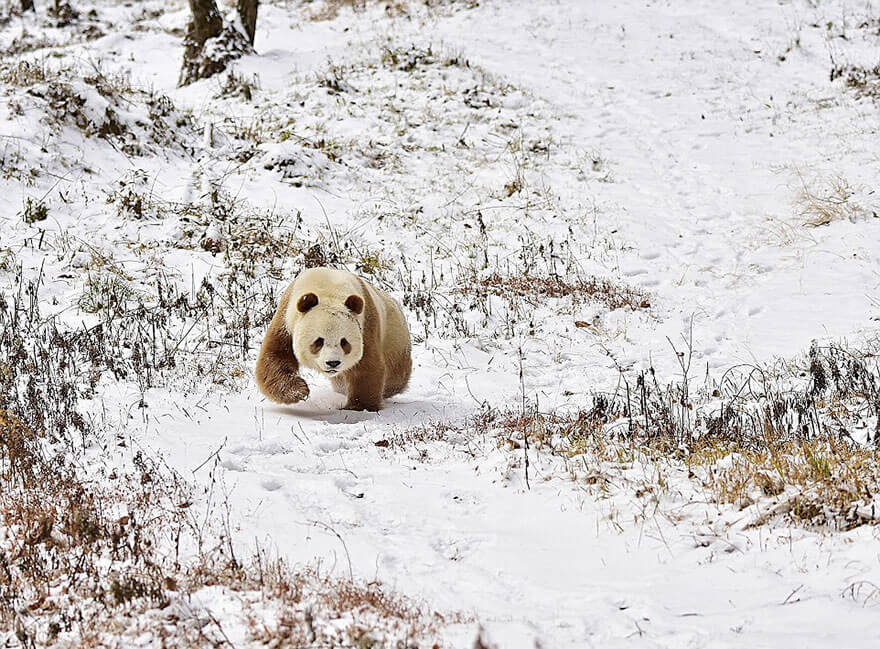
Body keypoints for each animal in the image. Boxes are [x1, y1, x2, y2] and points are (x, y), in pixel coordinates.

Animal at [256, 268, 410, 410]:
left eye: (344, 342)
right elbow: (275, 356)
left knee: (395, 377)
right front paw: (298, 391)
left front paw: (359, 407)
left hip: (394, 340)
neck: (328, 288)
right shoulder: (286, 319)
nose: (333, 363)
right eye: (318, 341)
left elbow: (366, 366)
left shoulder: (366, 324)